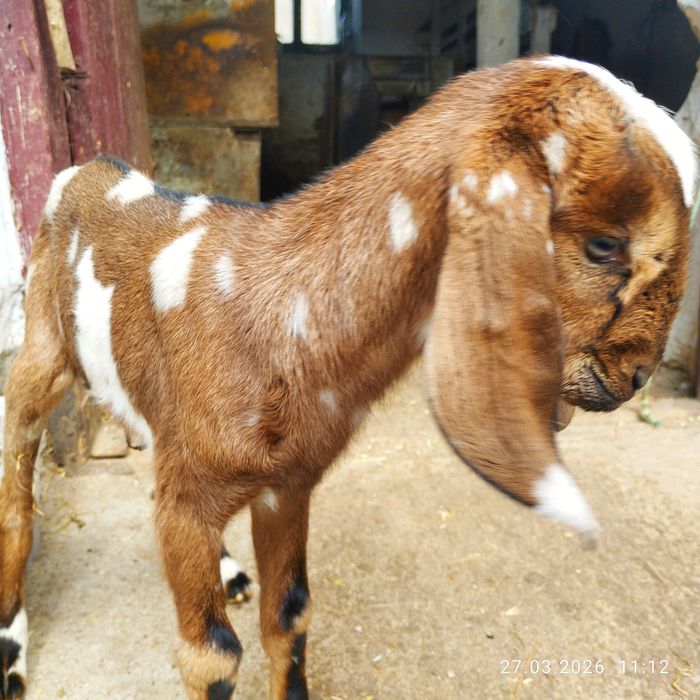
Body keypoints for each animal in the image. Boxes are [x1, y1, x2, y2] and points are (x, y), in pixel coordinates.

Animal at [0, 56, 695, 699]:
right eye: (605, 245)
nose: (637, 376)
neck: (276, 312)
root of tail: (88, 168)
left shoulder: (288, 486)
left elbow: (290, 616)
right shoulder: (193, 500)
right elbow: (211, 656)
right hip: (40, 354)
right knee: (18, 498)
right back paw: (11, 656)